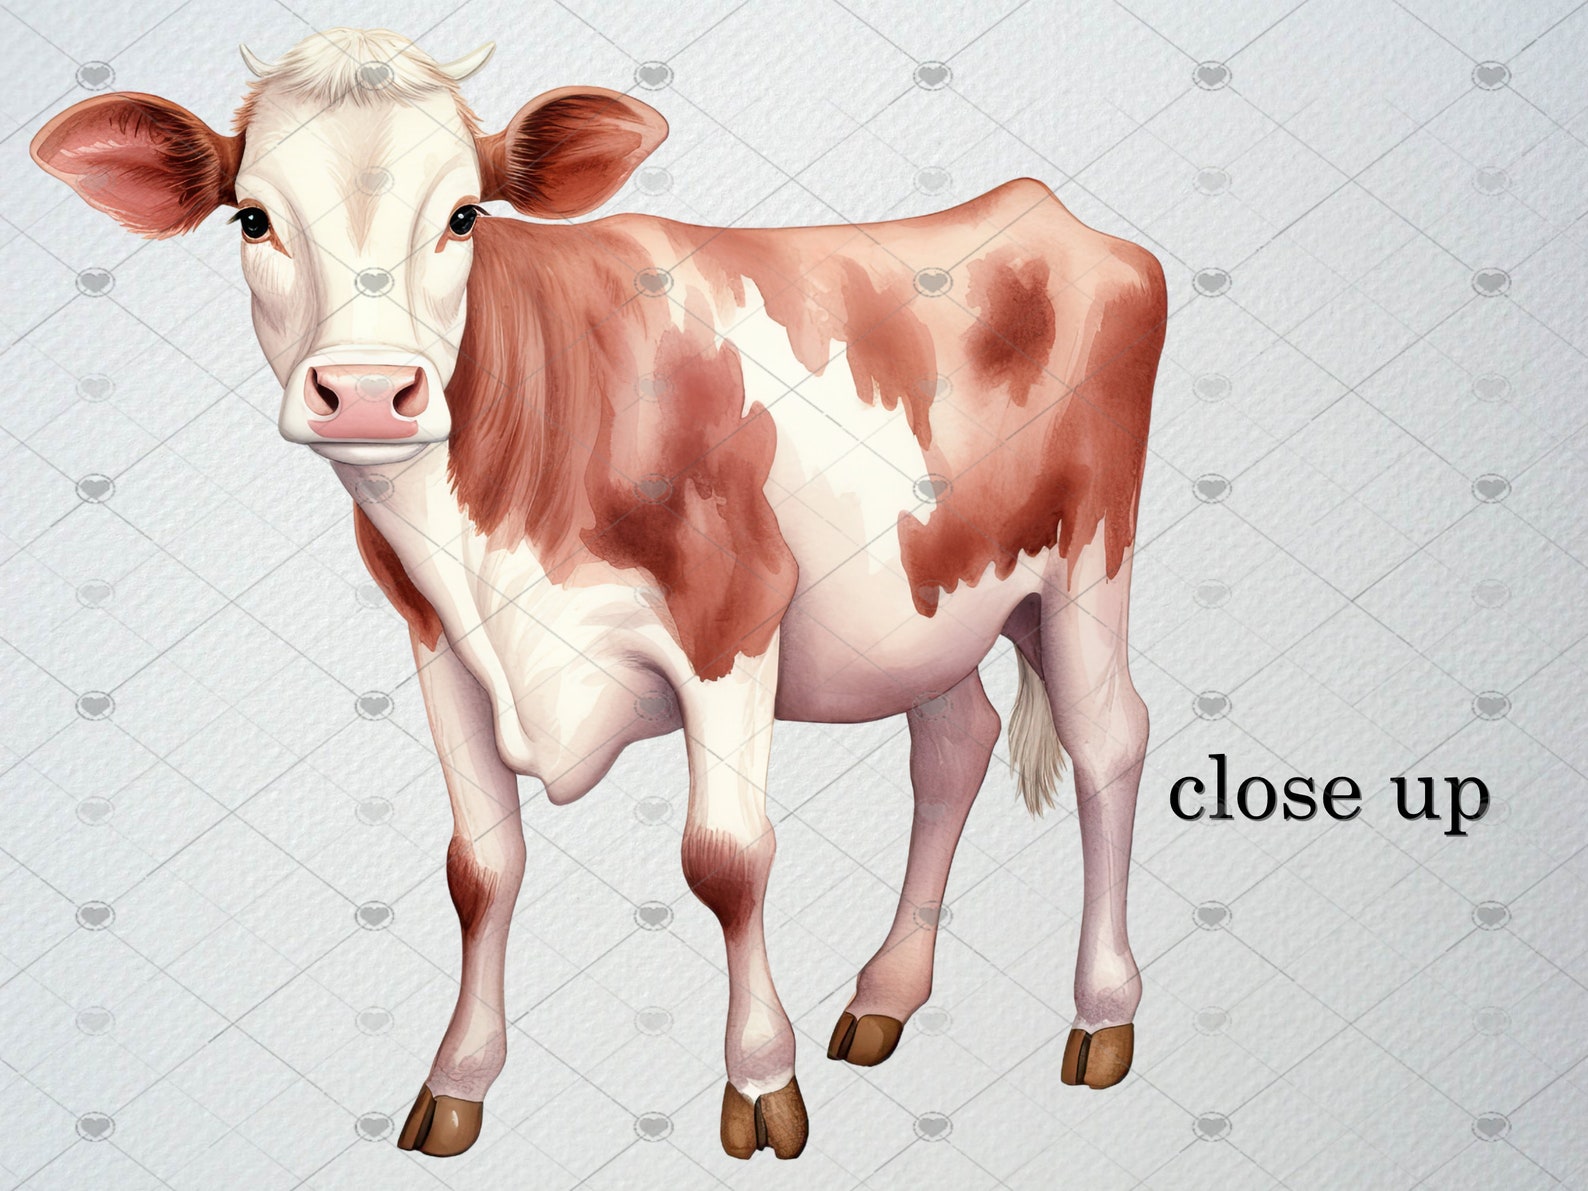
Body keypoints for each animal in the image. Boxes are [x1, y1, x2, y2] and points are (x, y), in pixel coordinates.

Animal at [31, 27, 1166, 1161]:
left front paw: (762, 1081)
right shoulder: (438, 641)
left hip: (1088, 565)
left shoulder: (733, 618)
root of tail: (1049, 211)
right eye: (253, 217)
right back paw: (886, 994)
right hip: (928, 603)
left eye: (463, 216)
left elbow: (727, 859)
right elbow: (481, 868)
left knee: (1108, 740)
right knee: (953, 745)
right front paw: (457, 1081)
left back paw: (1103, 1013)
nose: (364, 394)